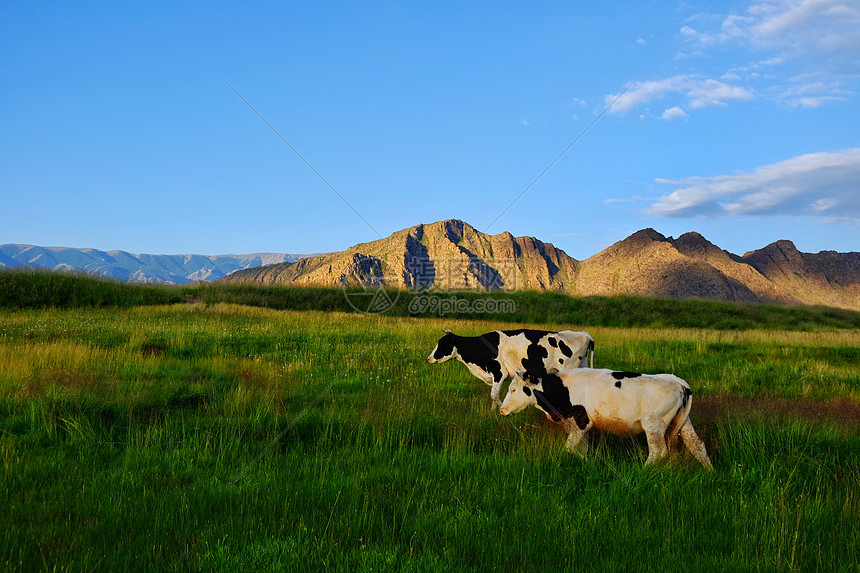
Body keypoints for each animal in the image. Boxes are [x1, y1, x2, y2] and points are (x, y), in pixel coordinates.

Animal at [426, 326, 596, 406]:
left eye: (443, 343)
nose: (429, 358)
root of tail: (583, 333)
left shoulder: (498, 373)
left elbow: (494, 396)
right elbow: (494, 396)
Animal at [498, 366, 712, 470]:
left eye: (513, 389)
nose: (501, 410)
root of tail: (676, 381)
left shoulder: (581, 423)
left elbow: (570, 448)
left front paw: (591, 462)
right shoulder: (579, 427)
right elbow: (581, 449)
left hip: (654, 425)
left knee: (659, 452)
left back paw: (642, 471)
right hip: (683, 423)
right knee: (698, 446)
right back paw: (711, 472)